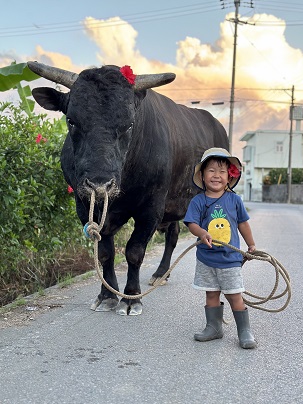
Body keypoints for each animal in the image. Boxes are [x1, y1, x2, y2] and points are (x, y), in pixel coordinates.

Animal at [28, 62, 229, 316]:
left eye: (129, 124)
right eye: (71, 120)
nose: (99, 184)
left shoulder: (151, 208)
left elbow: (134, 251)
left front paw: (131, 297)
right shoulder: (85, 207)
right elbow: (105, 253)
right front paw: (107, 295)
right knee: (173, 234)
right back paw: (161, 273)